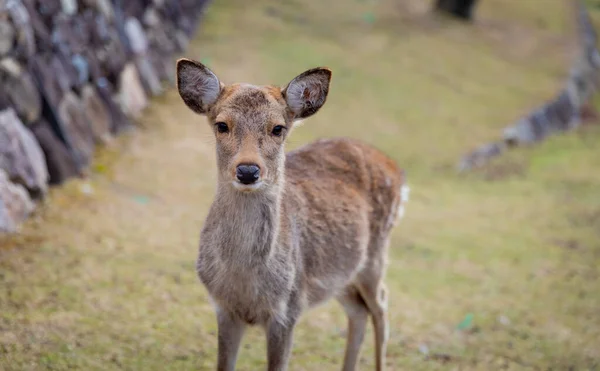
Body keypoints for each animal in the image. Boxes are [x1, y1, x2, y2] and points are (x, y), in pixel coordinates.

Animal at [176, 58, 410, 371]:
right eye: (221, 125)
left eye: (278, 128)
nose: (248, 170)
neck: (244, 282)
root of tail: (397, 170)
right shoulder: (223, 307)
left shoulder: (288, 309)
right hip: (343, 273)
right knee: (358, 310)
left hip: (376, 253)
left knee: (381, 303)